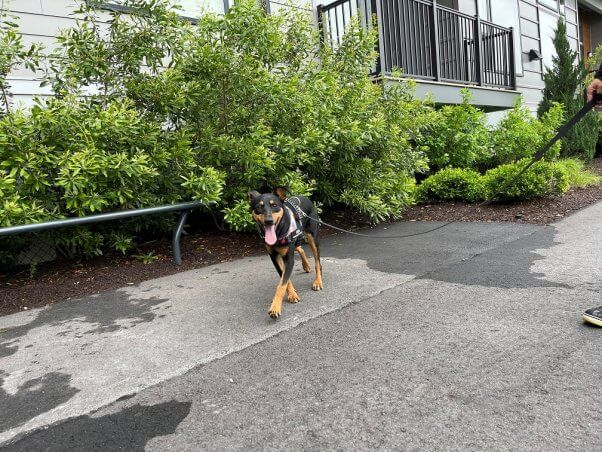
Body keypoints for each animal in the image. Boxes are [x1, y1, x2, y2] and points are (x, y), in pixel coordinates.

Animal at [247, 186, 324, 318]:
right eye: (259, 207)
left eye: (274, 205)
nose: (268, 221)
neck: (278, 234)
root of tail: (305, 197)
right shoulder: (274, 257)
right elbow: (284, 279)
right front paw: (292, 293)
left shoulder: (288, 258)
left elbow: (281, 284)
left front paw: (275, 307)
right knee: (300, 248)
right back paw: (306, 265)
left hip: (312, 237)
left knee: (317, 262)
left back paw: (318, 281)